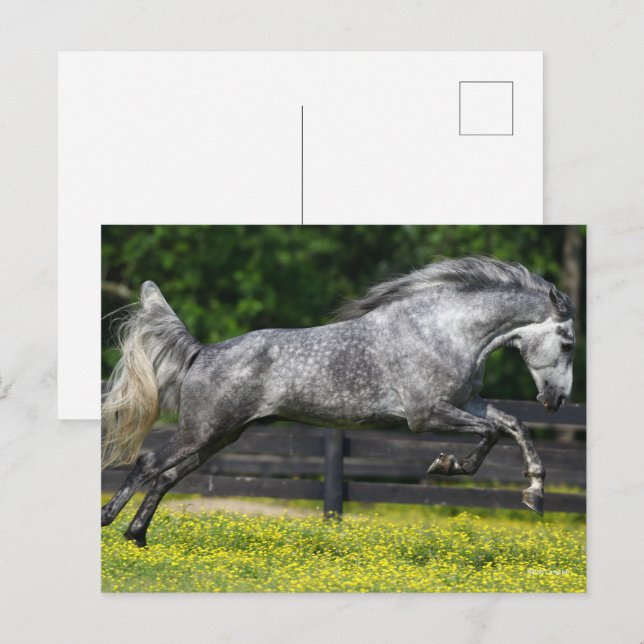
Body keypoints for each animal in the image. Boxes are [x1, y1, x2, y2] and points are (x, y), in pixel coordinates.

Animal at [101, 256, 576, 546]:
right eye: (569, 343)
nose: (555, 400)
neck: (444, 330)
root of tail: (202, 352)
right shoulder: (426, 415)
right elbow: (492, 432)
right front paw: (447, 465)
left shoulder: (468, 401)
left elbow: (513, 425)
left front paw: (534, 495)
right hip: (201, 430)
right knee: (147, 464)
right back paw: (109, 523)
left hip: (220, 436)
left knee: (165, 476)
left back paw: (137, 536)